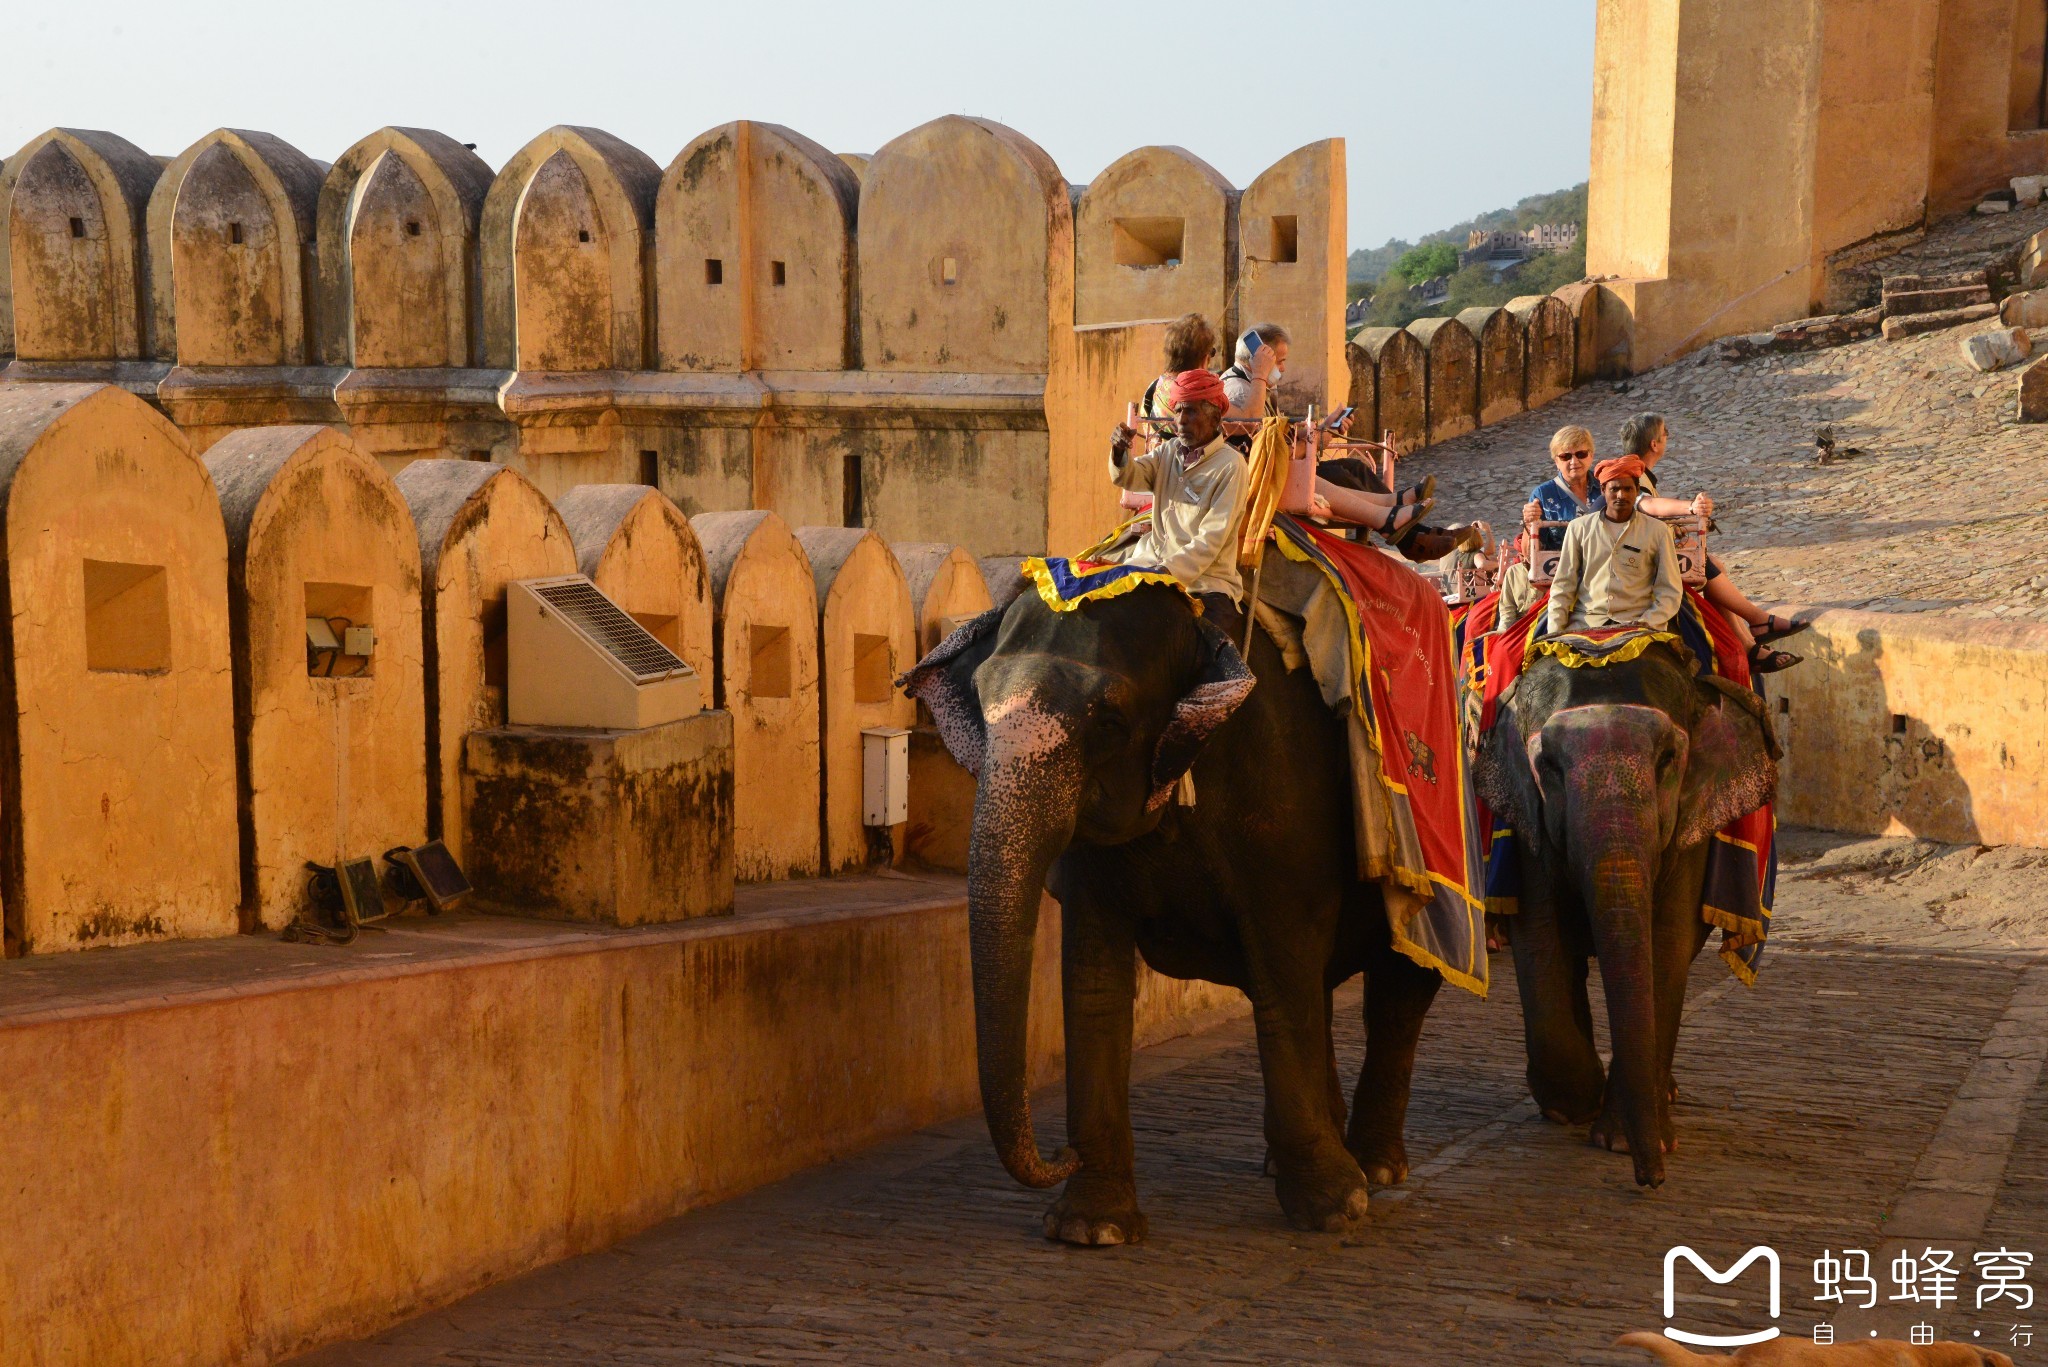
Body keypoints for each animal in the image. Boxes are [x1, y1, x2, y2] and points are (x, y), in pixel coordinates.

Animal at [905, 582, 1449, 1246]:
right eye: (980, 709)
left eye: (1109, 722)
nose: (1061, 1155)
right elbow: (1094, 984)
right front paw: (1092, 1228)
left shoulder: (1282, 804)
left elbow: (1281, 970)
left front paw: (1333, 1211)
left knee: (1398, 992)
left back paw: (1374, 1169)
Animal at [1474, 643, 1777, 1188]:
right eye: (1548, 764)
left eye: (1668, 759)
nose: (1651, 1180)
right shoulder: (1527, 819)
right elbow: (1541, 935)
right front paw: (1575, 1106)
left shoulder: (1689, 819)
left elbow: (1666, 943)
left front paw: (1626, 1139)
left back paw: (1664, 1095)